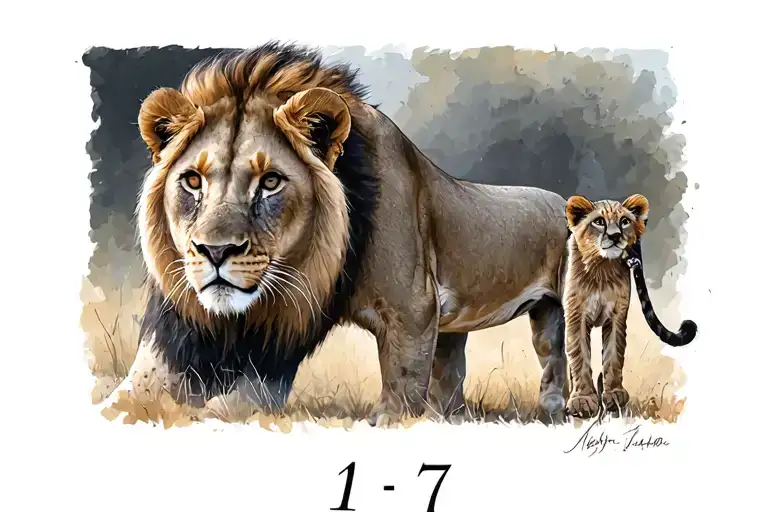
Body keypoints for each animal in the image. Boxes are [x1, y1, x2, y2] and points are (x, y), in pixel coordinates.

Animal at [100, 42, 571, 426]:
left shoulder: (413, 309)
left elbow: (401, 388)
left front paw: (391, 421)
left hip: (557, 311)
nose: (216, 251)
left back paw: (556, 412)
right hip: (468, 326)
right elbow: (137, 395)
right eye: (193, 181)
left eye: (271, 182)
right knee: (456, 371)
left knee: (554, 358)